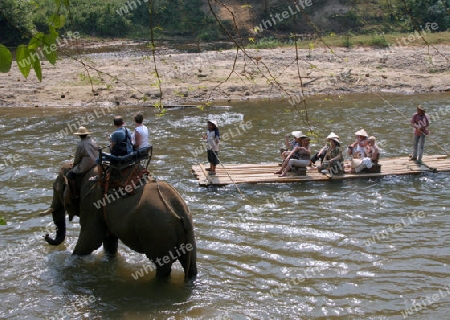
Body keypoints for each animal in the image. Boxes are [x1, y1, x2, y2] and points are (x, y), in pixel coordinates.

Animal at [40, 164, 197, 278]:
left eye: (55, 189)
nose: (46, 235)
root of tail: (180, 214)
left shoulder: (92, 202)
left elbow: (90, 240)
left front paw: (72, 261)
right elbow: (109, 241)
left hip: (159, 234)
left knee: (163, 268)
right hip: (186, 236)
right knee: (190, 266)